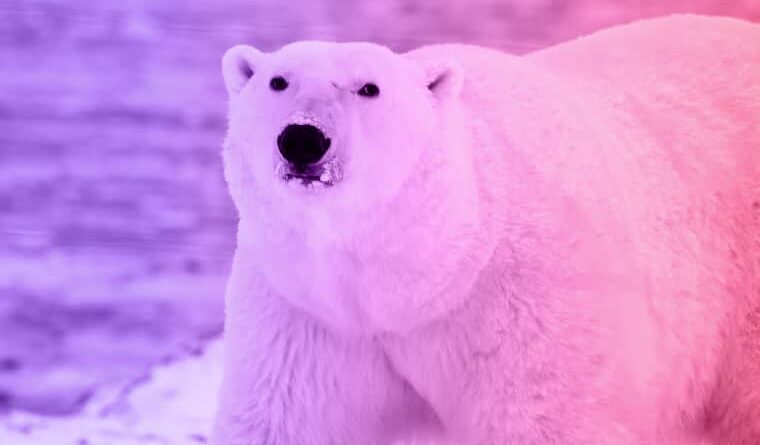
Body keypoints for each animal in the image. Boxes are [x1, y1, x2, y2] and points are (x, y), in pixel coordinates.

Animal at [212, 14, 760, 445]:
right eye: (277, 81)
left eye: (369, 87)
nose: (303, 139)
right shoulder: (308, 316)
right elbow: (283, 420)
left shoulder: (526, 305)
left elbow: (544, 420)